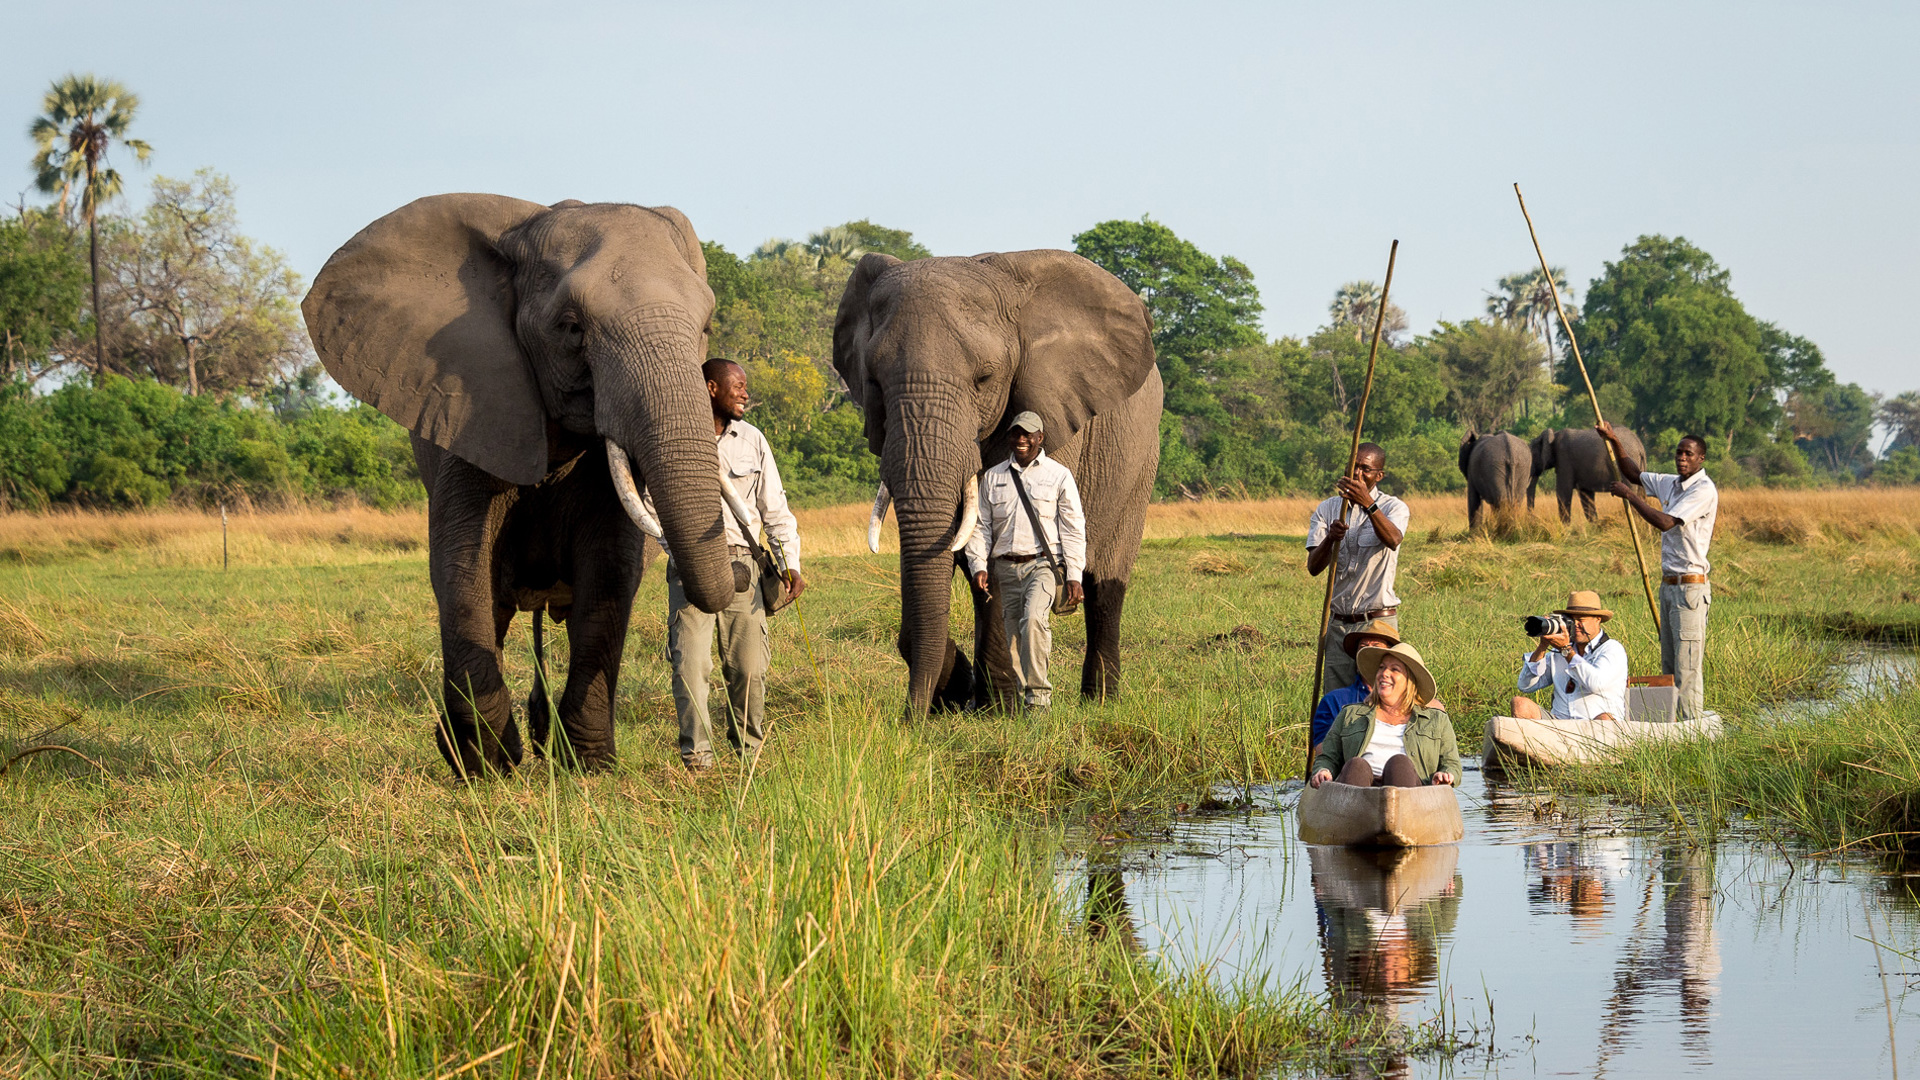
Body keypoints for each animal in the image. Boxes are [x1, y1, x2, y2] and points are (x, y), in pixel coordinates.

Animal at [302, 195, 746, 777]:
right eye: (572, 328)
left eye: (706, 326)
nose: (743, 573)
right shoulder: (472, 409)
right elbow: (461, 568)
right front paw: (488, 767)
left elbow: (610, 571)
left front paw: (589, 767)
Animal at [833, 250, 1163, 714]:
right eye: (874, 383)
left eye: (984, 379)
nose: (910, 718)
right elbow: (963, 544)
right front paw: (962, 693)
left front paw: (997, 706)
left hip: (1142, 460)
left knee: (1106, 585)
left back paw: (1099, 700)